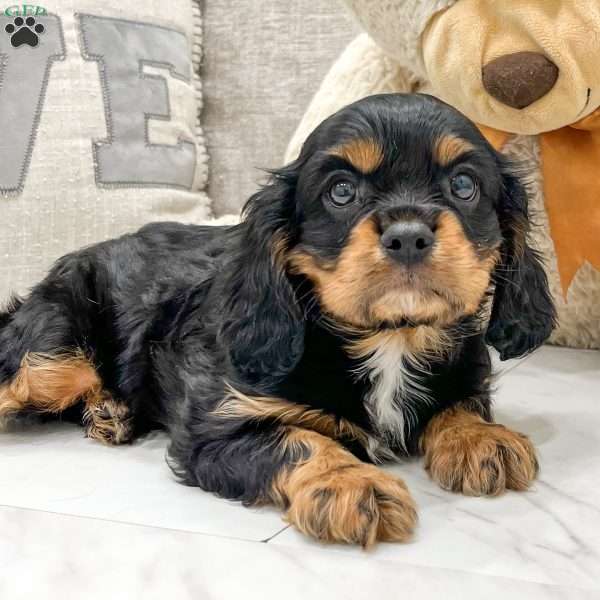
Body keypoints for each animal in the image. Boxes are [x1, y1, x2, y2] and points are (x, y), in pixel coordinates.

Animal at [0, 94, 556, 548]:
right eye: (340, 191)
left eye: (464, 185)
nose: (408, 235)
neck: (391, 339)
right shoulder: (216, 429)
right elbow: (299, 441)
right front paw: (349, 484)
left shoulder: (466, 371)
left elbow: (461, 402)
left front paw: (481, 438)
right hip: (54, 356)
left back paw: (111, 413)